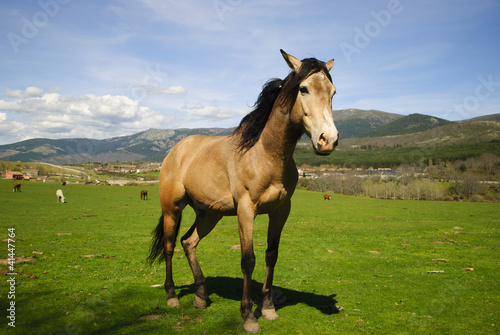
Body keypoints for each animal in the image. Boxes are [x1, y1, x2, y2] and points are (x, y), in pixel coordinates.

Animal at [146, 50, 338, 334]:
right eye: (303, 89)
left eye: (333, 92)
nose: (328, 140)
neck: (265, 153)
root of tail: (176, 150)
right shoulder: (246, 210)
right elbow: (248, 260)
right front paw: (248, 316)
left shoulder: (281, 211)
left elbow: (271, 255)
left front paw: (268, 308)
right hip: (172, 209)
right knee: (170, 246)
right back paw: (171, 296)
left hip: (209, 214)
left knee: (188, 242)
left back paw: (201, 296)